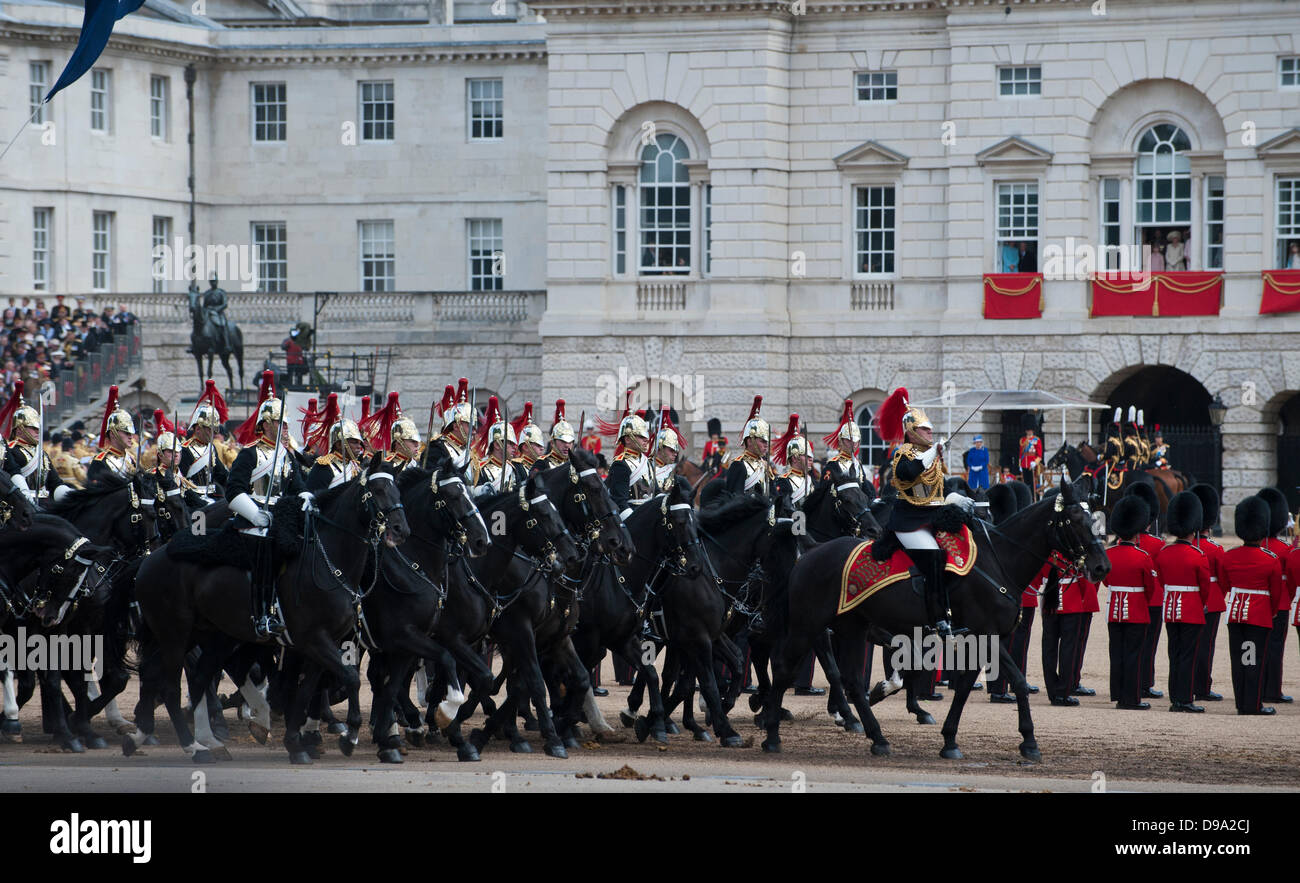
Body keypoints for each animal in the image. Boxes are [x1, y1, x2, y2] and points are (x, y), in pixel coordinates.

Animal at [759, 481, 1107, 764]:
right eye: (1075, 521)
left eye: (1094, 520)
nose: (1102, 566)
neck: (999, 561)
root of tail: (813, 550)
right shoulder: (987, 635)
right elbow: (1018, 683)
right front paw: (1030, 741)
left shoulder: (975, 639)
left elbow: (963, 687)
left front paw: (949, 740)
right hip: (808, 625)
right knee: (785, 667)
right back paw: (772, 732)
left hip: (852, 627)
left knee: (852, 679)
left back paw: (876, 737)